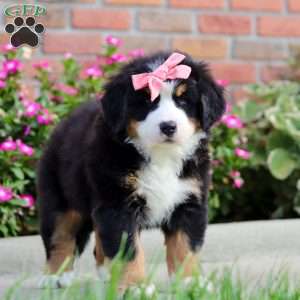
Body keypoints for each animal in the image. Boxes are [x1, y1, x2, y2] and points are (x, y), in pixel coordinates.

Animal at [37, 51, 225, 288]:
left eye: (183, 100)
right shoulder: (118, 204)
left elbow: (186, 246)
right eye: (146, 101)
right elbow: (128, 250)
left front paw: (190, 282)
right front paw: (135, 287)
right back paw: (55, 275)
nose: (168, 126)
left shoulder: (189, 200)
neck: (161, 156)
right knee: (59, 235)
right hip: (60, 199)